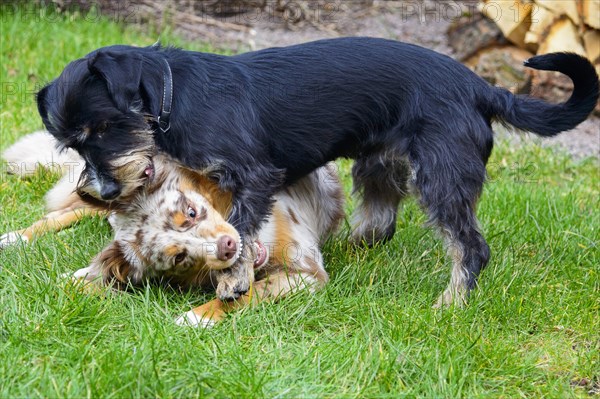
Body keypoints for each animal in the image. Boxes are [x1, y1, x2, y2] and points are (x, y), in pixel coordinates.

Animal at [1, 133, 342, 326]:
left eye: (191, 212)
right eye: (180, 257)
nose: (228, 246)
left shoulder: (306, 272)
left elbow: (251, 292)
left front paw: (195, 317)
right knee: (67, 211)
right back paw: (16, 237)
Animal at [38, 37, 600, 306]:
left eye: (103, 127)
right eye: (72, 144)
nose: (105, 189)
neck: (177, 97)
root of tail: (483, 88)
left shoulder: (253, 176)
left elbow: (240, 227)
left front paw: (234, 280)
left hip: (441, 175)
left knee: (471, 247)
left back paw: (451, 303)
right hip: (380, 164)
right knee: (379, 223)